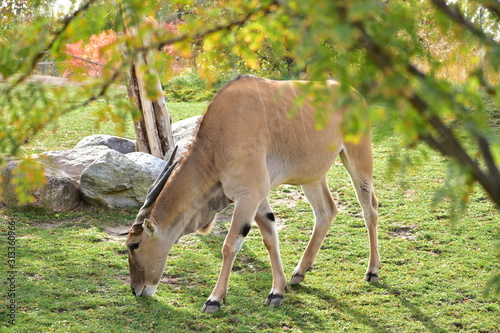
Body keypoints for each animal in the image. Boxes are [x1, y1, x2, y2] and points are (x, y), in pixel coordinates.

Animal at [125, 74, 378, 312]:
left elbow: (230, 245)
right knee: (326, 212)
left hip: (358, 159)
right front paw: (277, 292)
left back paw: (372, 271)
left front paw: (215, 299)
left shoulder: (248, 195)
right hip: (311, 177)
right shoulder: (258, 197)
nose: (136, 290)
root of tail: (354, 93)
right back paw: (300, 272)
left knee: (370, 208)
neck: (216, 143)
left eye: (133, 245)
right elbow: (270, 237)